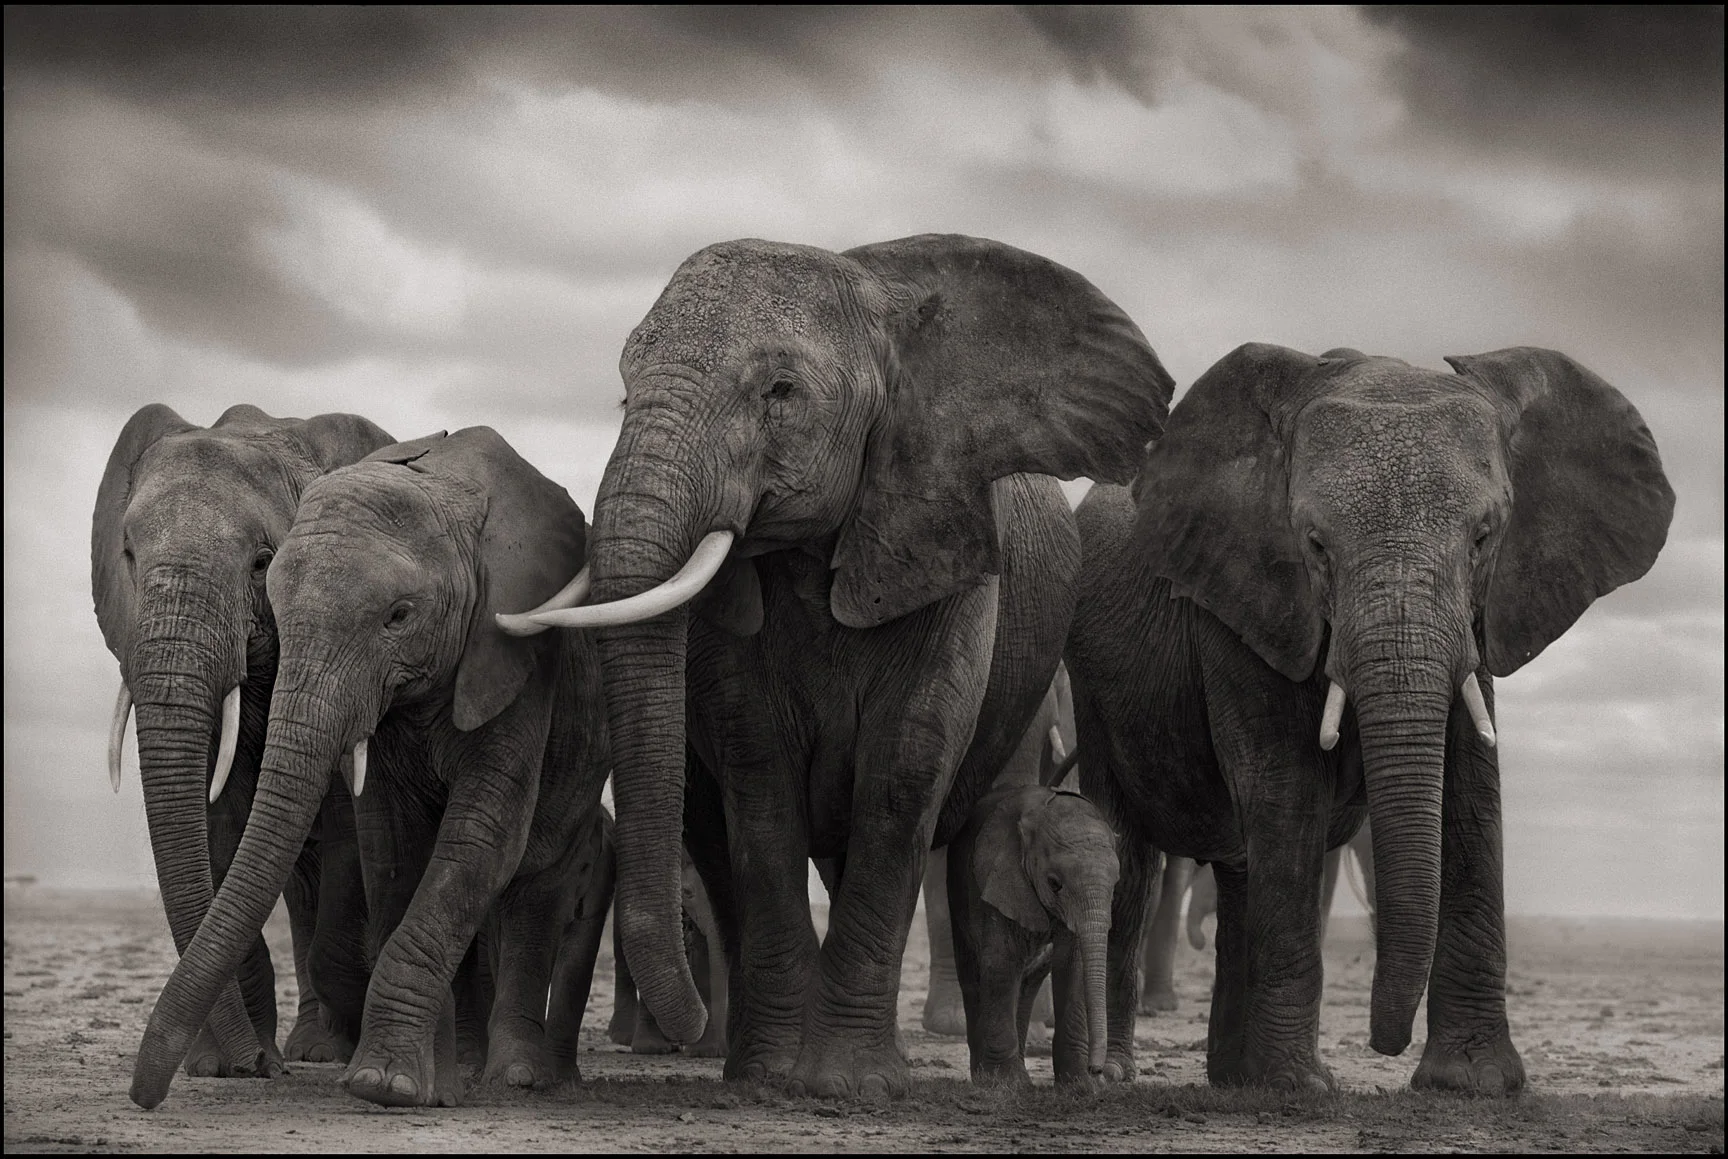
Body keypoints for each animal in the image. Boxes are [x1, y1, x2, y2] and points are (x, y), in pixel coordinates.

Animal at [92, 403, 391, 1079]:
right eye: (128, 553)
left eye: (262, 562)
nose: (256, 1065)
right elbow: (216, 827)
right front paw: (224, 1066)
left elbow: (347, 828)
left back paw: (321, 1050)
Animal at [127, 426, 612, 1110]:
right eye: (274, 603)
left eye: (399, 616)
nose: (143, 1098)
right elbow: (391, 846)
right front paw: (417, 1085)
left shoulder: (517, 662)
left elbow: (482, 836)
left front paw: (386, 1085)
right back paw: (467, 1069)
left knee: (535, 884)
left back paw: (517, 1078)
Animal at [948, 783, 1119, 1085]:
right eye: (1054, 884)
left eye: (1115, 886)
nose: (1098, 1070)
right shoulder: (996, 880)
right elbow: (1001, 963)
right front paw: (1009, 1085)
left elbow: (1072, 968)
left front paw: (1082, 1085)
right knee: (973, 976)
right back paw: (985, 1077)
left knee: (1028, 984)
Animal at [1067, 344, 1673, 1093]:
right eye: (1315, 545)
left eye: (1484, 537)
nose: (1386, 1044)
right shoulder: (1246, 602)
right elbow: (1288, 789)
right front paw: (1300, 1088)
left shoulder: (1480, 617)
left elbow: (1471, 791)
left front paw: (1472, 1083)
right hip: (1091, 690)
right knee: (1128, 857)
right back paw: (1113, 1074)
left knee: (1239, 869)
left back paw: (1233, 1079)